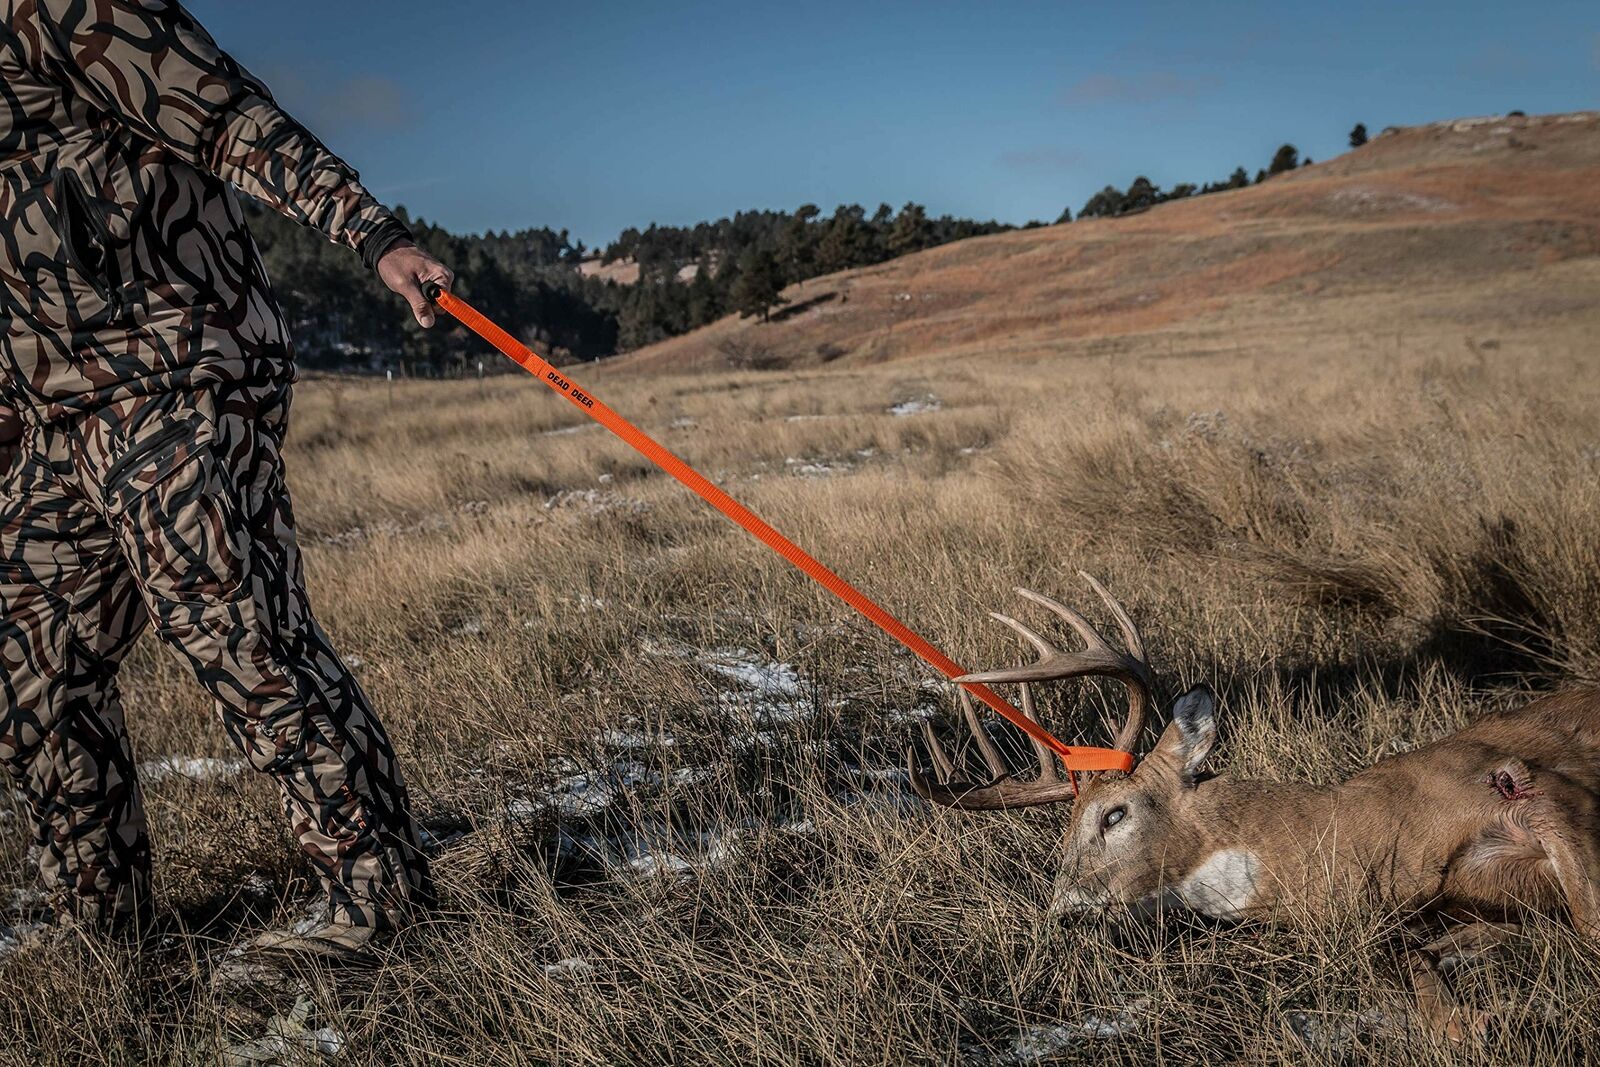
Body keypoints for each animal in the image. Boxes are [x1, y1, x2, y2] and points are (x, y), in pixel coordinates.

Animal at [909, 573, 1600, 1041]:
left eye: (1114, 814)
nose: (1064, 914)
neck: (1346, 837)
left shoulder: (1529, 785)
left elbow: (1587, 924)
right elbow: (1424, 977)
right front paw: (1479, 1013)